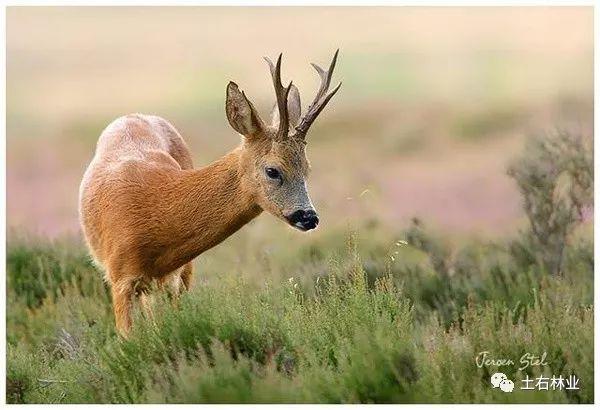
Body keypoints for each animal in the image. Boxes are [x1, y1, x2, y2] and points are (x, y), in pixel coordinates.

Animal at [78, 50, 342, 336]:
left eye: (307, 168)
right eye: (273, 170)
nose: (309, 217)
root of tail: (134, 115)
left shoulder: (174, 276)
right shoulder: (120, 277)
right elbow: (128, 337)